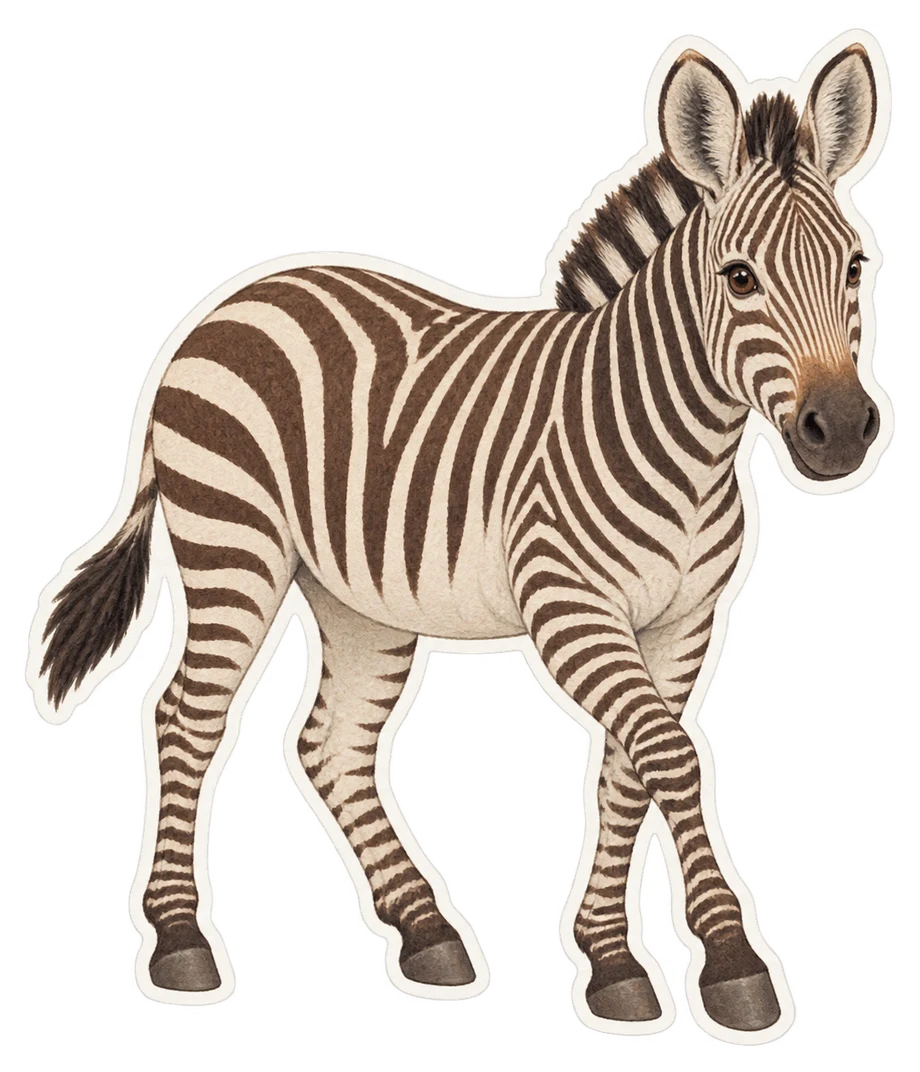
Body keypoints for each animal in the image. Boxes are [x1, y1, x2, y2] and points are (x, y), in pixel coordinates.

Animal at [29, 39, 886, 1034]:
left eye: (856, 267)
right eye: (739, 277)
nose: (844, 430)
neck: (682, 441)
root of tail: (230, 304)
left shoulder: (681, 623)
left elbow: (632, 767)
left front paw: (612, 963)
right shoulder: (573, 607)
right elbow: (668, 756)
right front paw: (733, 967)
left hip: (359, 597)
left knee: (329, 744)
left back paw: (428, 935)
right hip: (233, 545)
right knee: (185, 717)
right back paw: (180, 946)